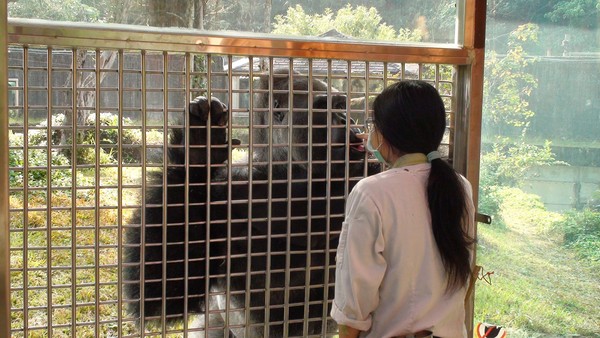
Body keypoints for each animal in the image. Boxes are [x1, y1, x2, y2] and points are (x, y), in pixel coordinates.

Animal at [124, 70, 380, 336]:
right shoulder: (226, 191)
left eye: (341, 106)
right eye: (326, 108)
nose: (346, 119)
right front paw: (197, 149)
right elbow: (163, 290)